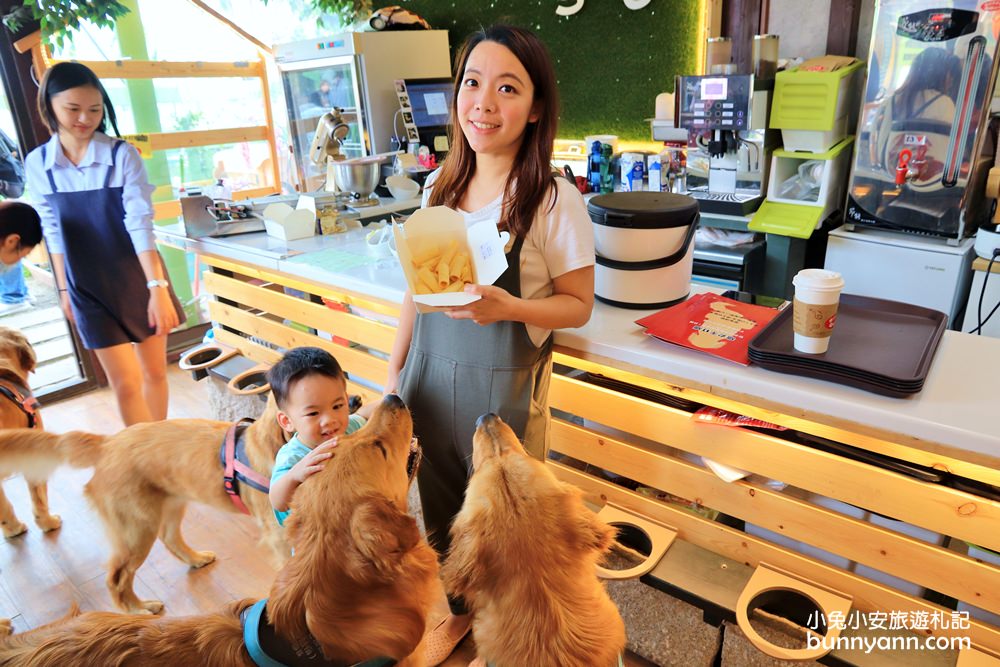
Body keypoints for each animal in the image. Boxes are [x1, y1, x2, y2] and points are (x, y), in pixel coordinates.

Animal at [0, 396, 290, 616]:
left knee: (170, 539)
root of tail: (109, 443)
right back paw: (138, 609)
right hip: (136, 529)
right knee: (116, 578)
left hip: (167, 508)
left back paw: (195, 559)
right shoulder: (277, 534)